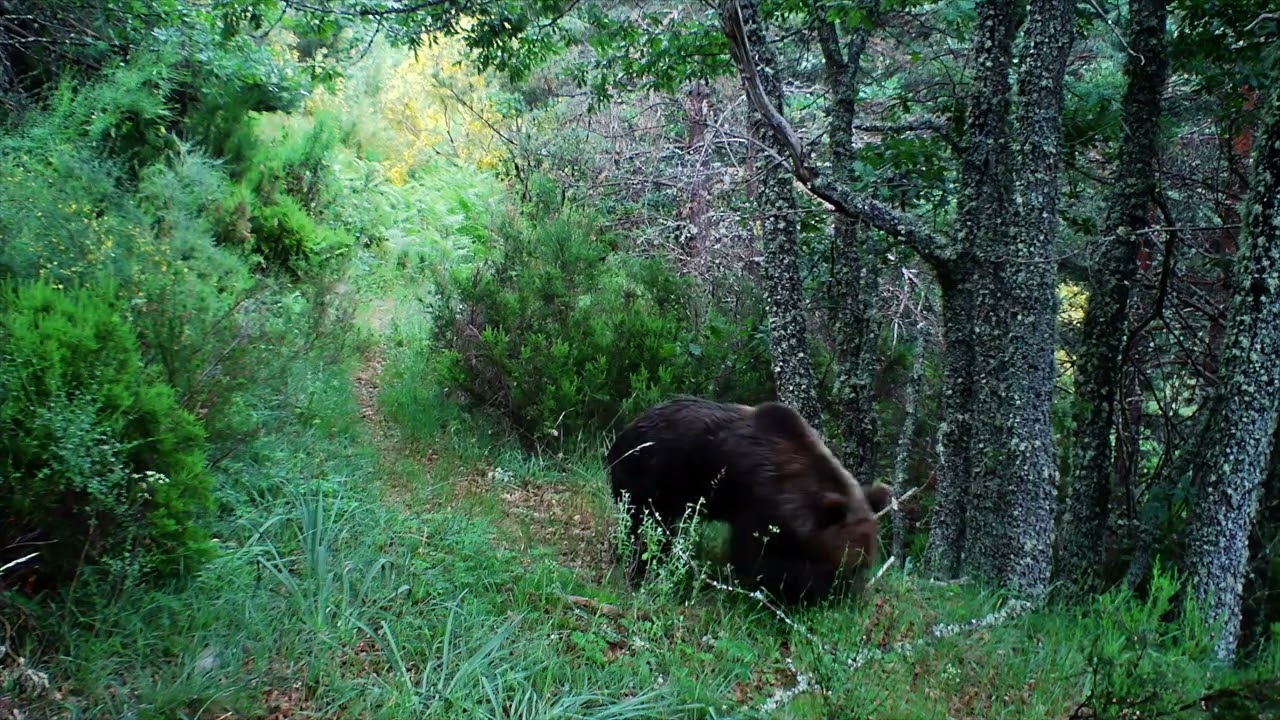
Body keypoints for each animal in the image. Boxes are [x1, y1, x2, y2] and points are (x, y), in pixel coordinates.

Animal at [605, 396, 893, 604]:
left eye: (865, 565)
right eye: (847, 565)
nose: (850, 599)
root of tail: (620, 436)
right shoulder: (755, 507)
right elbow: (755, 559)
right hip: (651, 478)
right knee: (644, 526)